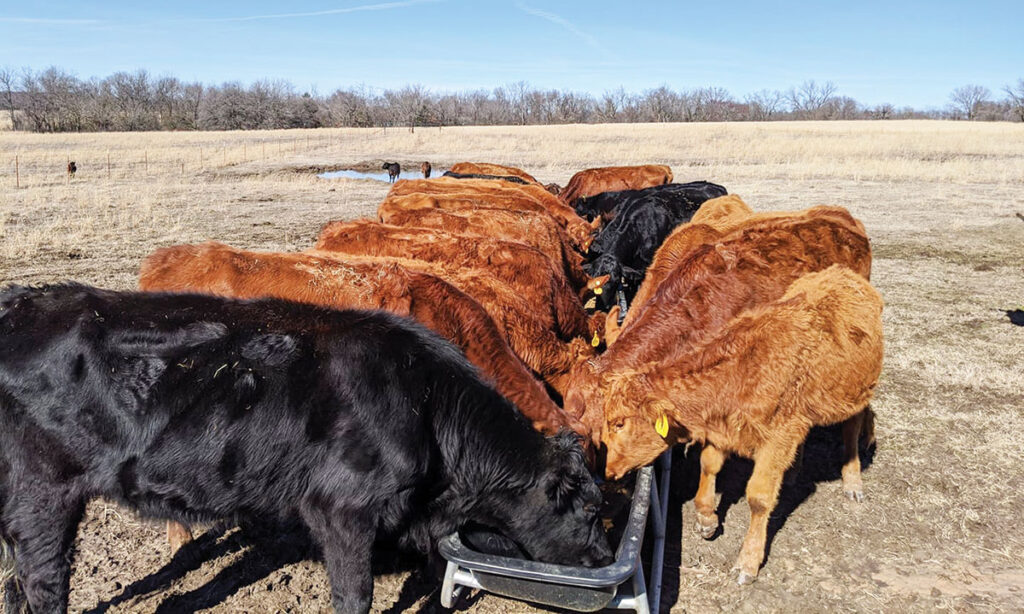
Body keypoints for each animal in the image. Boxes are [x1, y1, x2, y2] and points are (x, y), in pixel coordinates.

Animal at [0, 284, 610, 614]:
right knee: (43, 580)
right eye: (590, 508)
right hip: (43, 490)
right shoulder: (341, 508)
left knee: (14, 580)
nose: (603, 559)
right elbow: (355, 594)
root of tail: (21, 301)